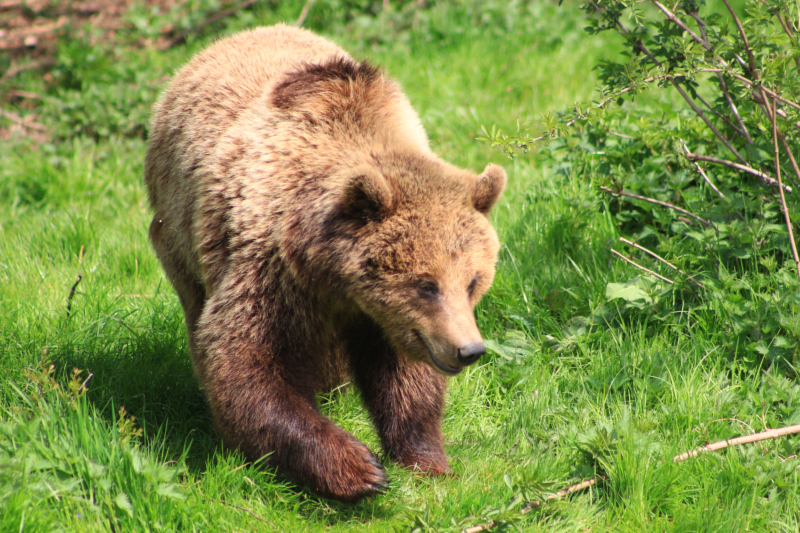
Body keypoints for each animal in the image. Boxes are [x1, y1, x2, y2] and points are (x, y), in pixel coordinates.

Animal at [144, 22, 506, 500]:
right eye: (425, 284)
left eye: (472, 281)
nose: (469, 350)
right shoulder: (271, 269)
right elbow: (247, 360)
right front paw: (359, 468)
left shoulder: (388, 321)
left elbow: (405, 377)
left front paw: (425, 459)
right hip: (178, 230)